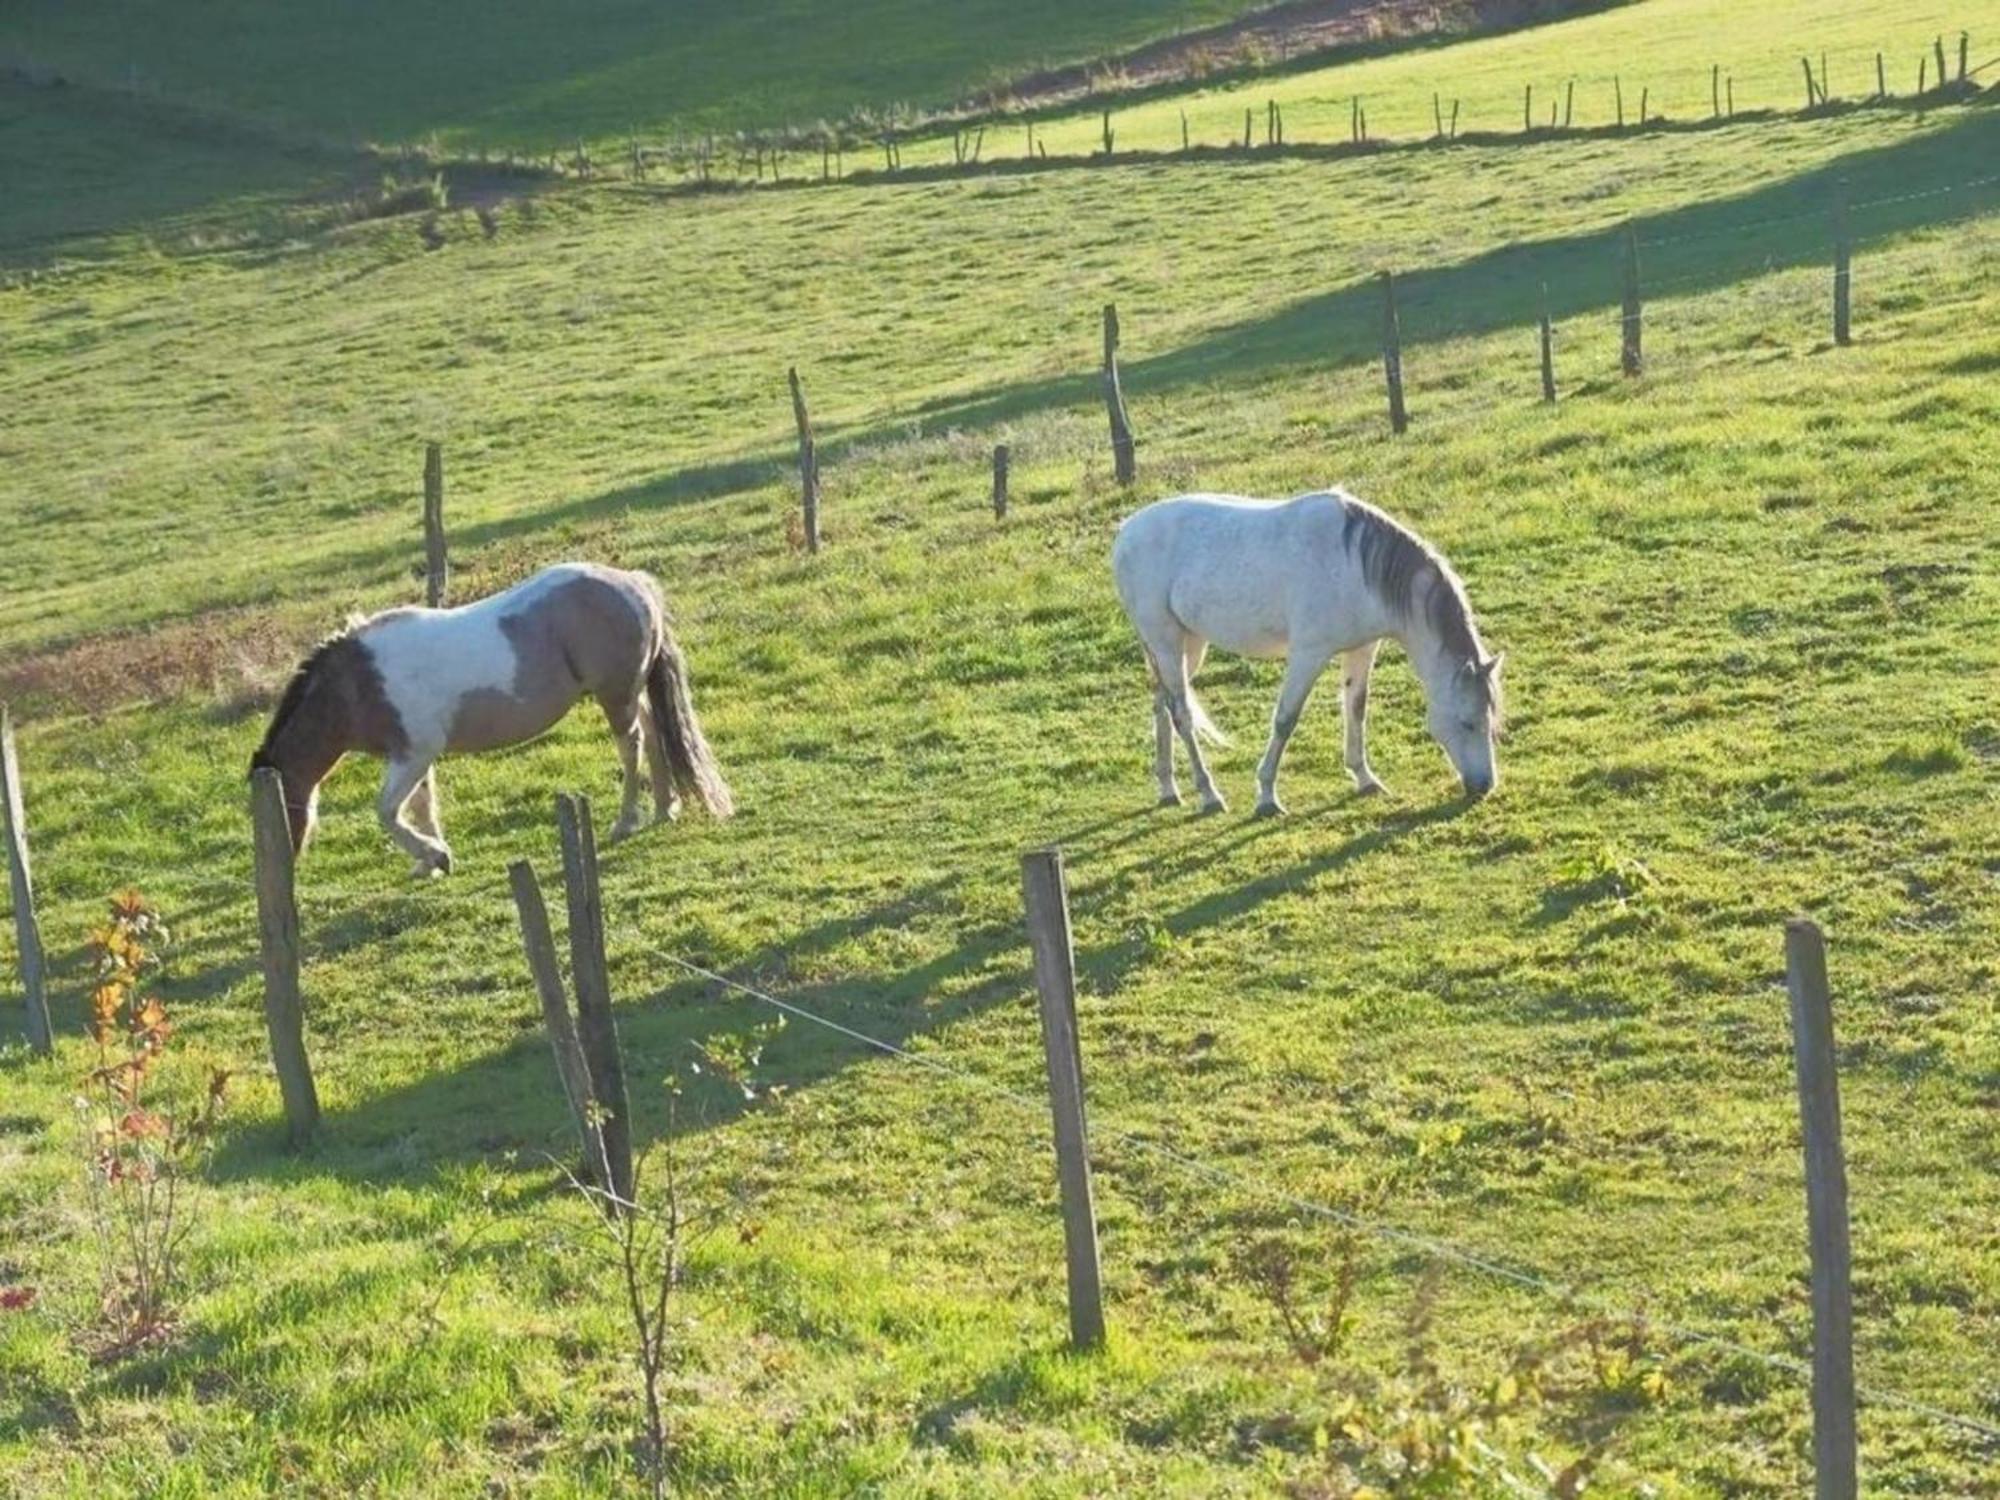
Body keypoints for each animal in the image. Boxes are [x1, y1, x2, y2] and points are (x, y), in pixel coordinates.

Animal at [1112, 490, 1504, 816]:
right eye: (1468, 722)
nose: (1484, 786)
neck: (1354, 565)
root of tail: (1126, 532)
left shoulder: (1362, 648)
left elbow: (1356, 708)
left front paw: (1365, 778)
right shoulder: (1308, 654)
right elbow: (1286, 719)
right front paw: (1267, 796)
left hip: (1187, 645)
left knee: (1162, 704)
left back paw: (1168, 789)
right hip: (1165, 641)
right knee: (1181, 714)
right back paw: (1209, 795)